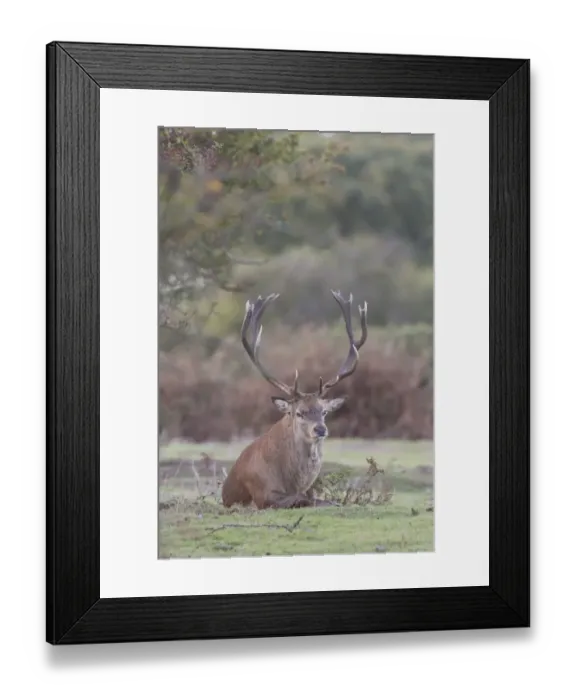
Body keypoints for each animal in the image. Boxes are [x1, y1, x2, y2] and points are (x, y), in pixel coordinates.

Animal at [221, 290, 368, 510]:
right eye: (299, 413)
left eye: (324, 411)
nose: (320, 429)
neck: (292, 481)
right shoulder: (262, 495)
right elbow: (303, 499)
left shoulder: (309, 489)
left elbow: (320, 498)